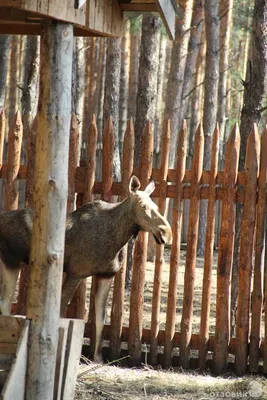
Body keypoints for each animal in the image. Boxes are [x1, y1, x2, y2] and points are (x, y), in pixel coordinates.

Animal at [0, 177, 172, 360]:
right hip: (11, 261)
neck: (117, 239)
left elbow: (101, 317)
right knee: (5, 302)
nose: (167, 233)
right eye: (143, 206)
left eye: (156, 207)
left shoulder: (106, 275)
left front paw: (97, 357)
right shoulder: (76, 272)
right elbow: (61, 310)